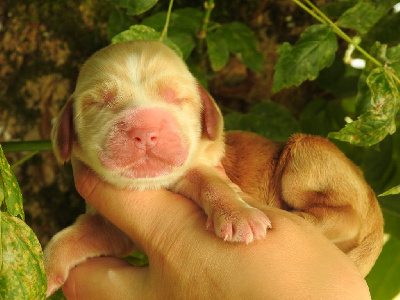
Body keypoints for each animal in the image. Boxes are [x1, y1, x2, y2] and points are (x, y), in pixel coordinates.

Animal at [44, 41, 272, 296]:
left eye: (177, 98)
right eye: (97, 103)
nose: (144, 130)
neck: (150, 185)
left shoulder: (199, 167)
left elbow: (212, 183)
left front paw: (239, 215)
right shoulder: (113, 229)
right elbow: (73, 236)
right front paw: (42, 270)